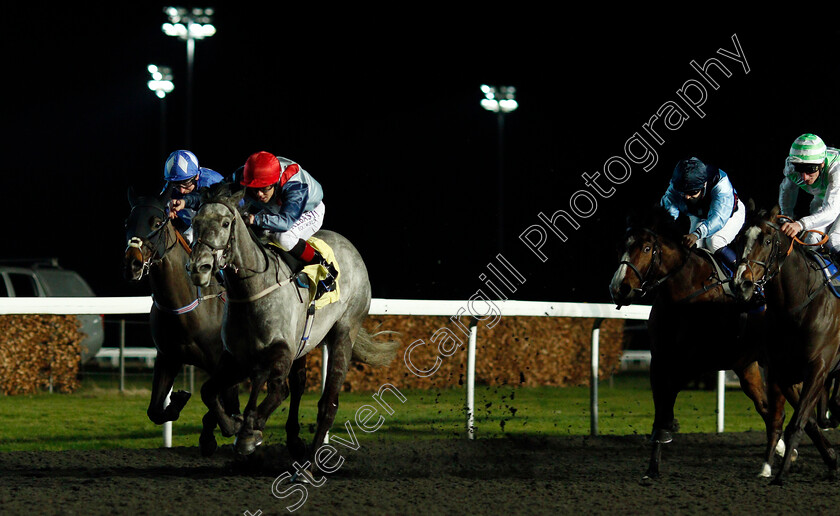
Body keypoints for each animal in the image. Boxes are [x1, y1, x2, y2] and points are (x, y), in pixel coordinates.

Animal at [123, 187, 240, 454]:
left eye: (156, 222)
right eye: (127, 222)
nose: (132, 263)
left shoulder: (223, 362)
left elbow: (220, 401)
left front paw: (226, 427)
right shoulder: (168, 357)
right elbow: (155, 410)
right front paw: (178, 400)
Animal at [187, 184, 398, 464]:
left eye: (225, 223)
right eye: (195, 222)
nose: (200, 267)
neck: (252, 291)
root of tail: (350, 246)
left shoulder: (280, 351)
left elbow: (278, 390)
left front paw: (249, 432)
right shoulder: (237, 357)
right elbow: (209, 391)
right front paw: (230, 427)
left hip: (344, 331)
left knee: (327, 403)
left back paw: (310, 463)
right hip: (304, 344)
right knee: (298, 384)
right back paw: (293, 440)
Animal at [608, 206, 784, 480]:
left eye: (646, 248)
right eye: (620, 247)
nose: (619, 288)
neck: (683, 292)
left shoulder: (696, 362)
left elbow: (667, 403)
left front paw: (666, 432)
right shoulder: (660, 361)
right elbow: (661, 405)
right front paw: (652, 466)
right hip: (747, 365)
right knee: (765, 406)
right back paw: (784, 448)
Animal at [732, 206, 836, 484]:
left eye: (767, 241)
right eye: (740, 239)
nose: (742, 283)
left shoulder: (818, 368)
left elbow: (798, 422)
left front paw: (781, 473)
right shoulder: (782, 371)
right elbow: (796, 422)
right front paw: (831, 458)